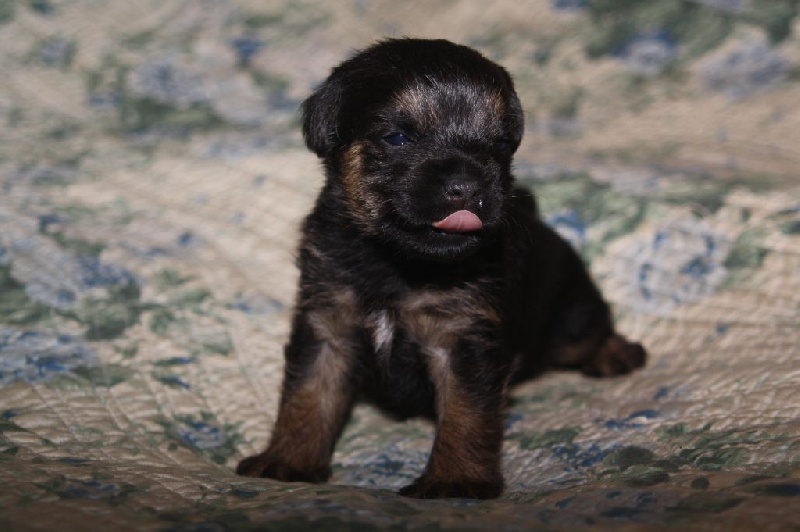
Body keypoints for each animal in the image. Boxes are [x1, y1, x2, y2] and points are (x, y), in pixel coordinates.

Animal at [236, 38, 646, 499]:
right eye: (397, 137)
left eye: (500, 144)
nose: (467, 186)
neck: (397, 262)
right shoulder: (327, 326)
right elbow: (306, 396)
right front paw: (287, 461)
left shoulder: (463, 340)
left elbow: (466, 415)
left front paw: (455, 481)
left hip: (566, 319)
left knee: (589, 329)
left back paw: (615, 351)